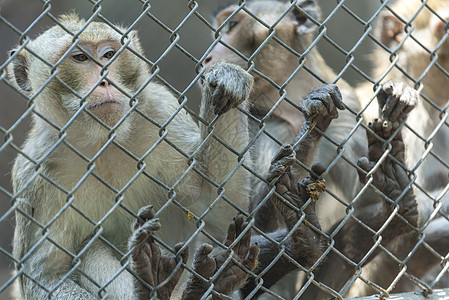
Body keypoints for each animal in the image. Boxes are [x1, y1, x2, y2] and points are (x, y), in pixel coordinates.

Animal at [7, 14, 256, 300]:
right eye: (80, 58)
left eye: (109, 54)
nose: (105, 81)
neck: (101, 142)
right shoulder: (35, 172)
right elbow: (47, 276)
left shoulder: (161, 112)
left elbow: (220, 208)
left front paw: (228, 77)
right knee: (91, 250)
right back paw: (153, 283)